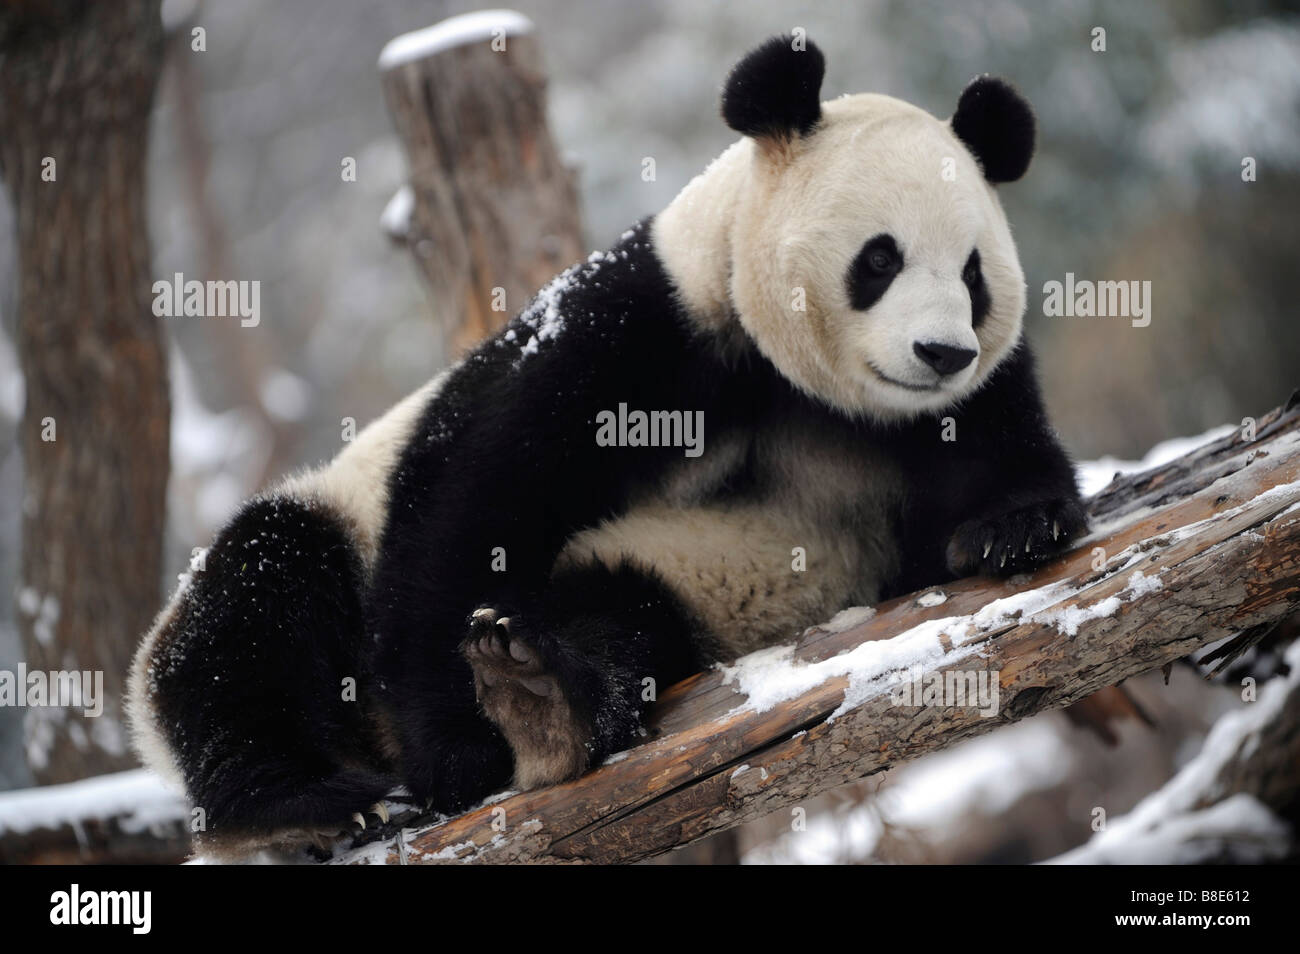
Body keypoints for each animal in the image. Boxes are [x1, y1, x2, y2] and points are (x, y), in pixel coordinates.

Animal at [129, 37, 1086, 857]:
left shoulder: (958, 401)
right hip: (325, 530)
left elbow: (986, 465)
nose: (942, 352)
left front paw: (1014, 526)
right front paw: (455, 751)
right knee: (258, 597)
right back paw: (297, 802)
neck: (802, 386)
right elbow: (470, 508)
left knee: (620, 609)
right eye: (880, 260)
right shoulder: (643, 329)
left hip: (683, 578)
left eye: (972, 274)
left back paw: (544, 691)